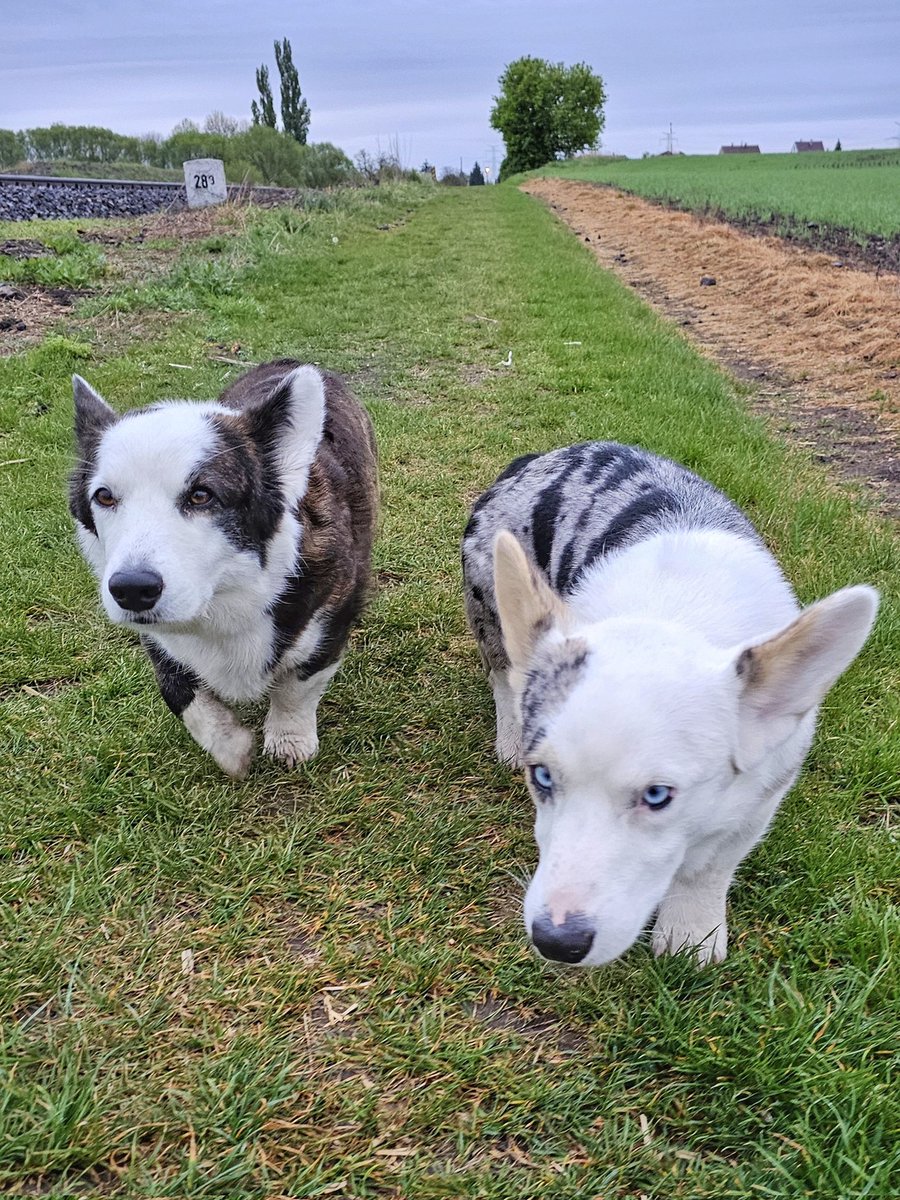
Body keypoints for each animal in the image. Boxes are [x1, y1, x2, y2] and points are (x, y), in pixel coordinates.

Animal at [70, 357, 379, 777]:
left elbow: (298, 686)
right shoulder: (158, 640)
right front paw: (230, 747)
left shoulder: (331, 615)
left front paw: (290, 739)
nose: (132, 590)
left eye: (202, 495)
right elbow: (179, 691)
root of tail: (291, 361)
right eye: (104, 497)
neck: (222, 597)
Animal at [465, 441, 883, 964]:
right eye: (541, 776)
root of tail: (539, 457)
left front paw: (691, 938)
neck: (672, 613)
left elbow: (708, 869)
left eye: (658, 795)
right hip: (487, 604)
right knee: (502, 672)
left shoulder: (763, 795)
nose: (556, 943)